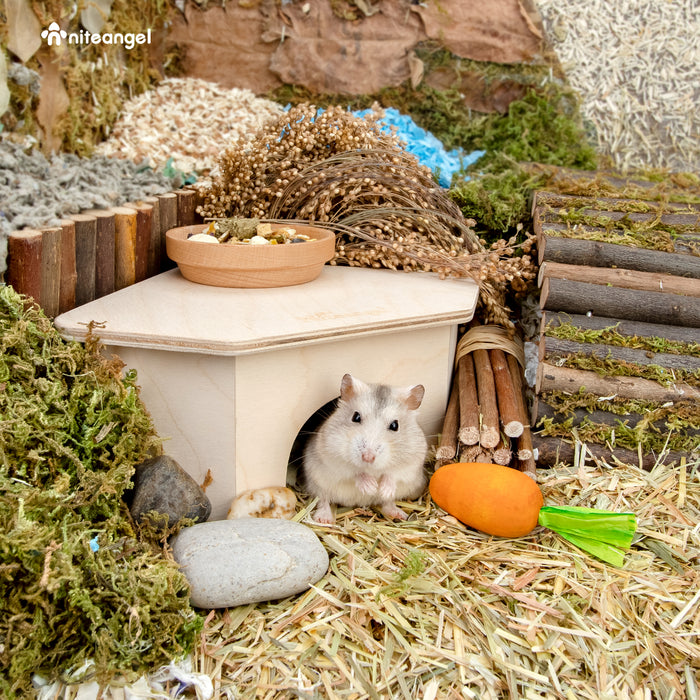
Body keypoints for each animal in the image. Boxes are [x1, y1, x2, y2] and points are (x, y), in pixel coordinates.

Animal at [304, 374, 430, 524]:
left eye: (395, 425)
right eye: (356, 417)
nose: (368, 457)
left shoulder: (412, 463)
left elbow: (393, 474)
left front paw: (382, 489)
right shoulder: (331, 457)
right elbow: (354, 472)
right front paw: (371, 487)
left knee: (387, 503)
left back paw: (398, 514)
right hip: (317, 483)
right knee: (323, 500)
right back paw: (324, 519)